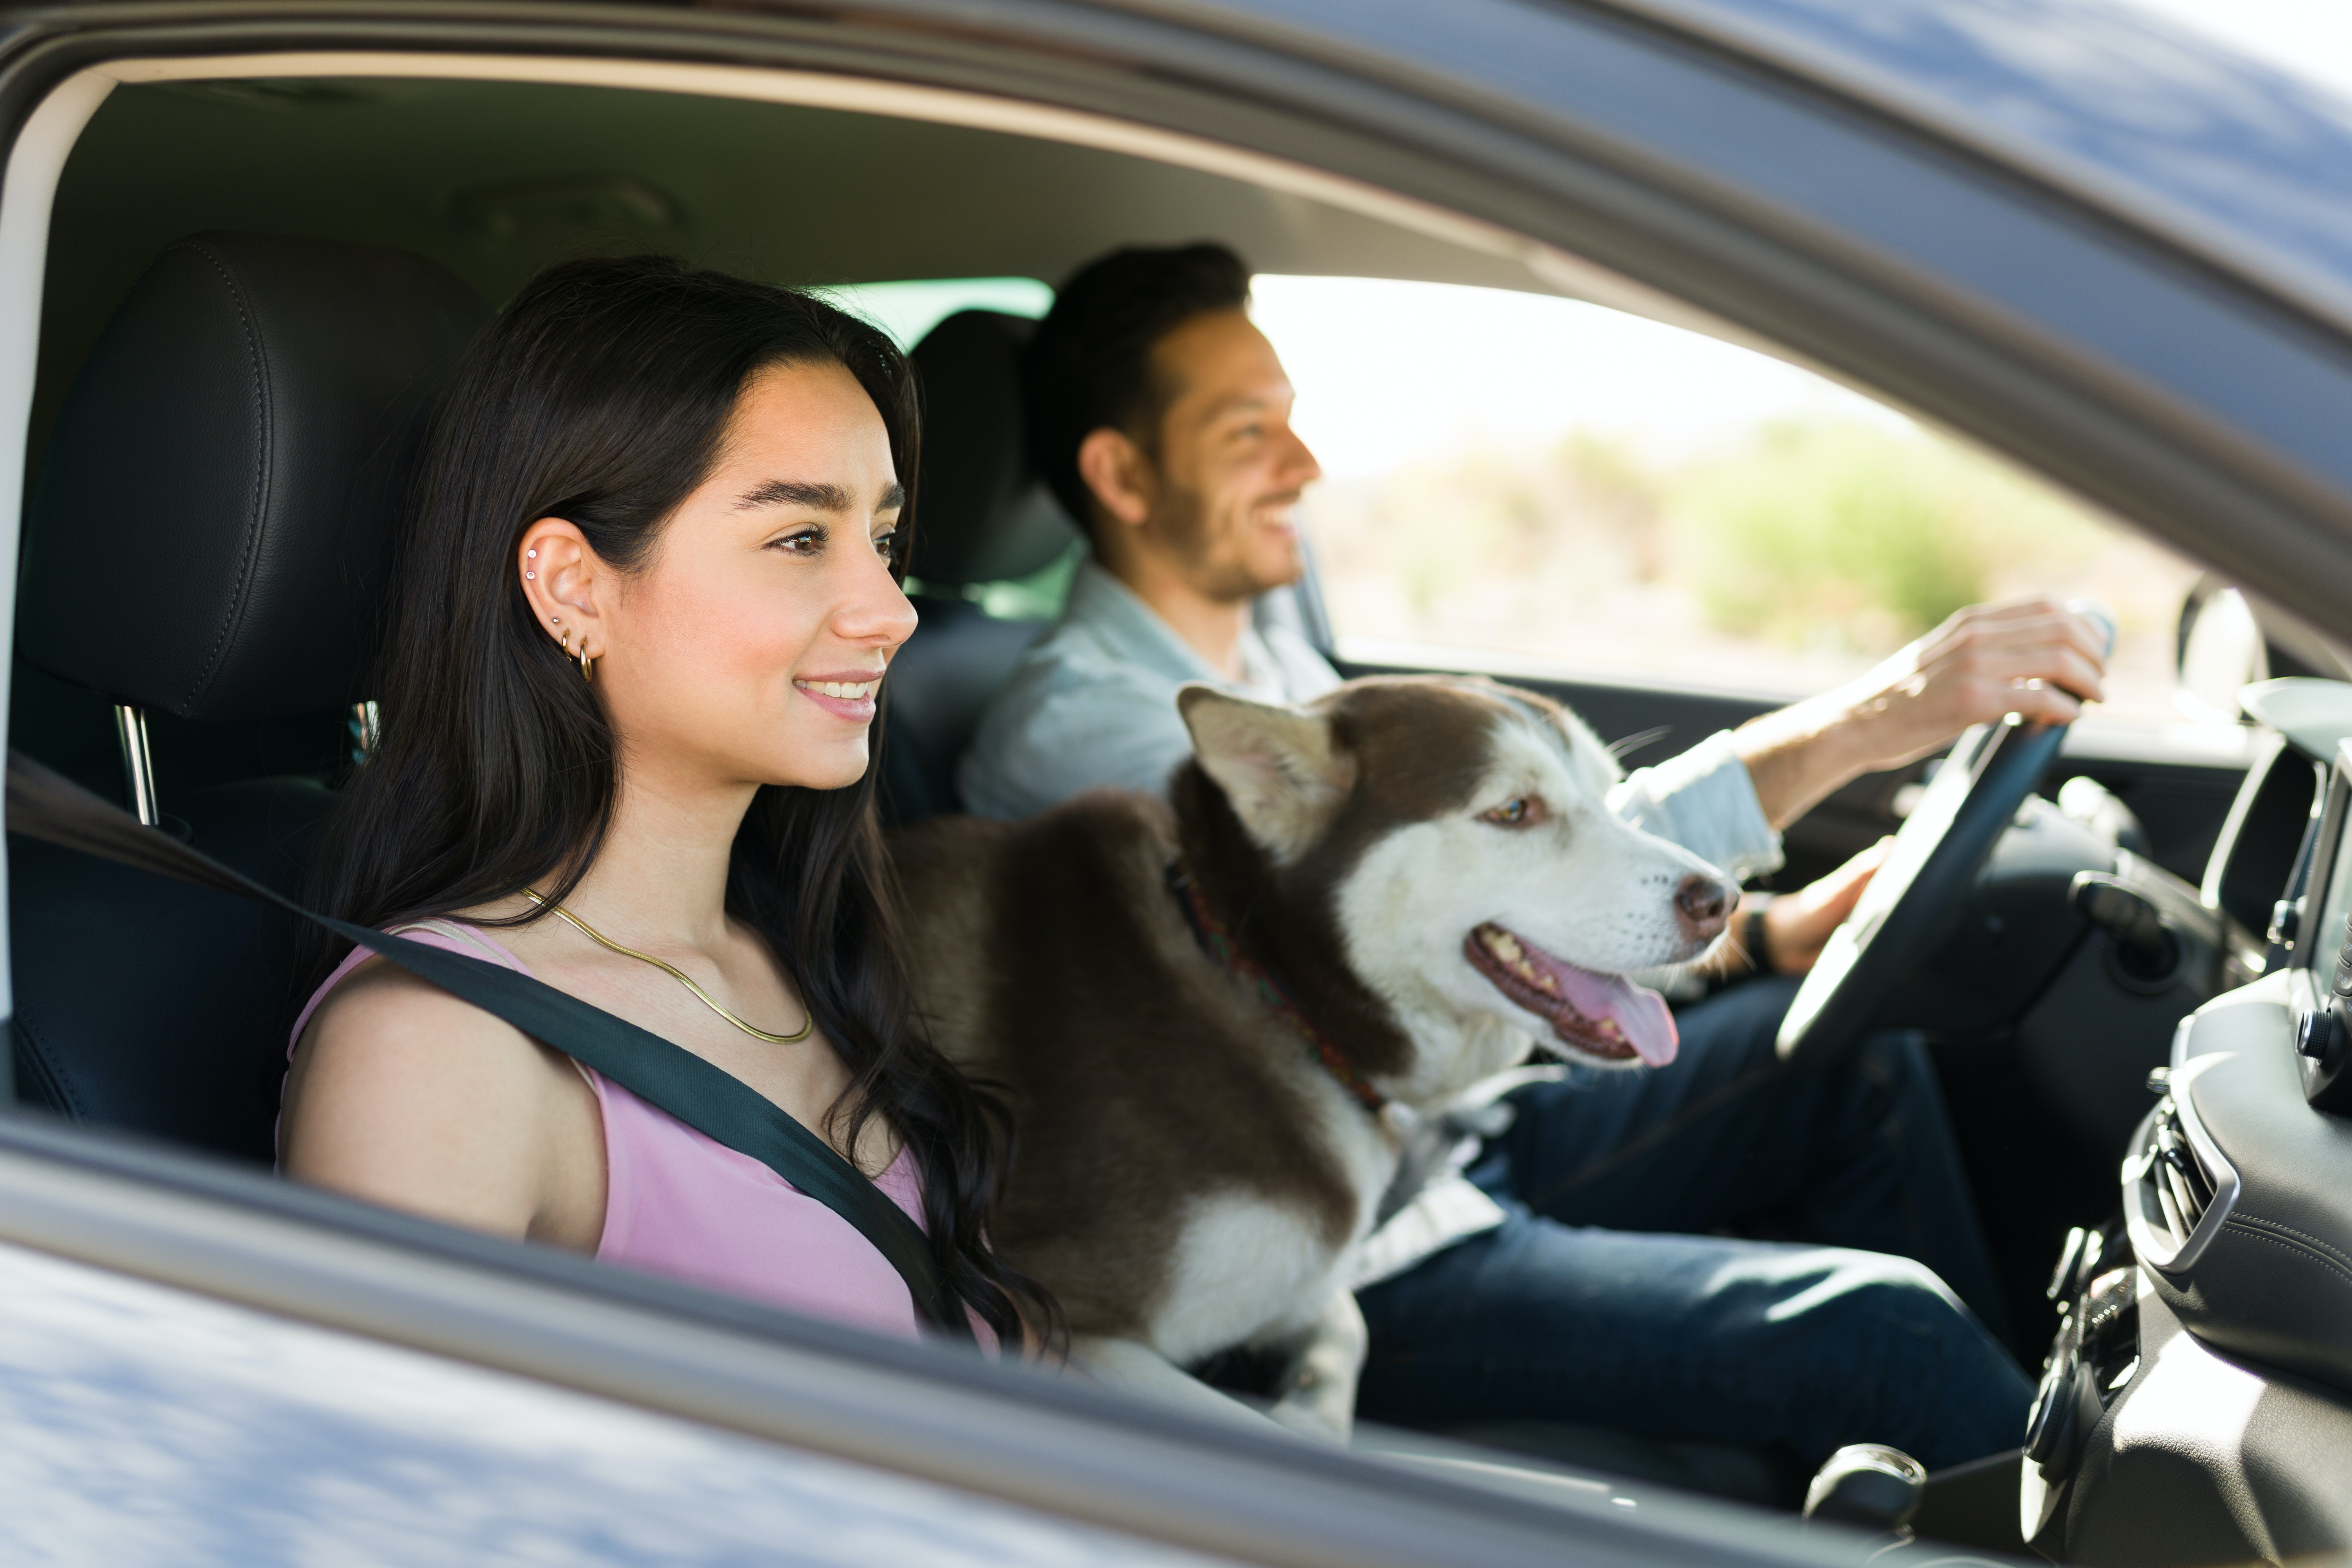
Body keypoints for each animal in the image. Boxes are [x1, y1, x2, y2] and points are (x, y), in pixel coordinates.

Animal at [889, 677, 1740, 1438]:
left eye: (1610, 791)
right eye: (1512, 811)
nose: (1722, 899)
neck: (1268, 985)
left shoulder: (1300, 1278)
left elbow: (1346, 1326)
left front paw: (1309, 1402)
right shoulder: (1061, 1315)